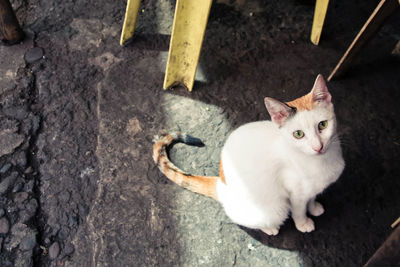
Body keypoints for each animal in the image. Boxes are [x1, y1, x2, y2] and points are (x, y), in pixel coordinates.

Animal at [153, 74, 344, 236]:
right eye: (298, 134)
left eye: (323, 125)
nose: (318, 147)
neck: (320, 161)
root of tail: (221, 183)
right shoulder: (295, 193)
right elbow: (299, 210)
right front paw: (303, 223)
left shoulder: (311, 189)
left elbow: (311, 198)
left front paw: (314, 207)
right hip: (275, 209)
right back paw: (270, 228)